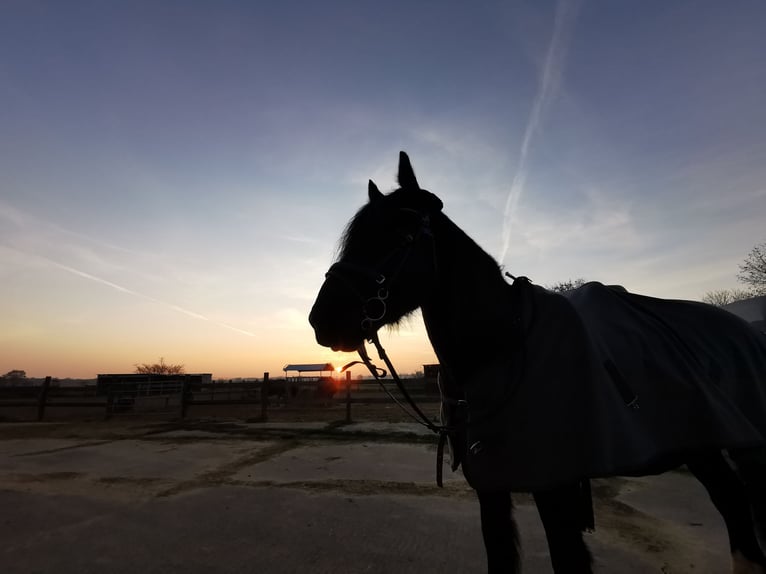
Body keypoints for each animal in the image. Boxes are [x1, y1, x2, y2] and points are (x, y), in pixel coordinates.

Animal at [309, 151, 766, 573]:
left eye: (402, 233)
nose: (322, 319)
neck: (500, 347)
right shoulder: (490, 485)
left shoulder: (556, 488)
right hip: (702, 444)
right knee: (733, 503)